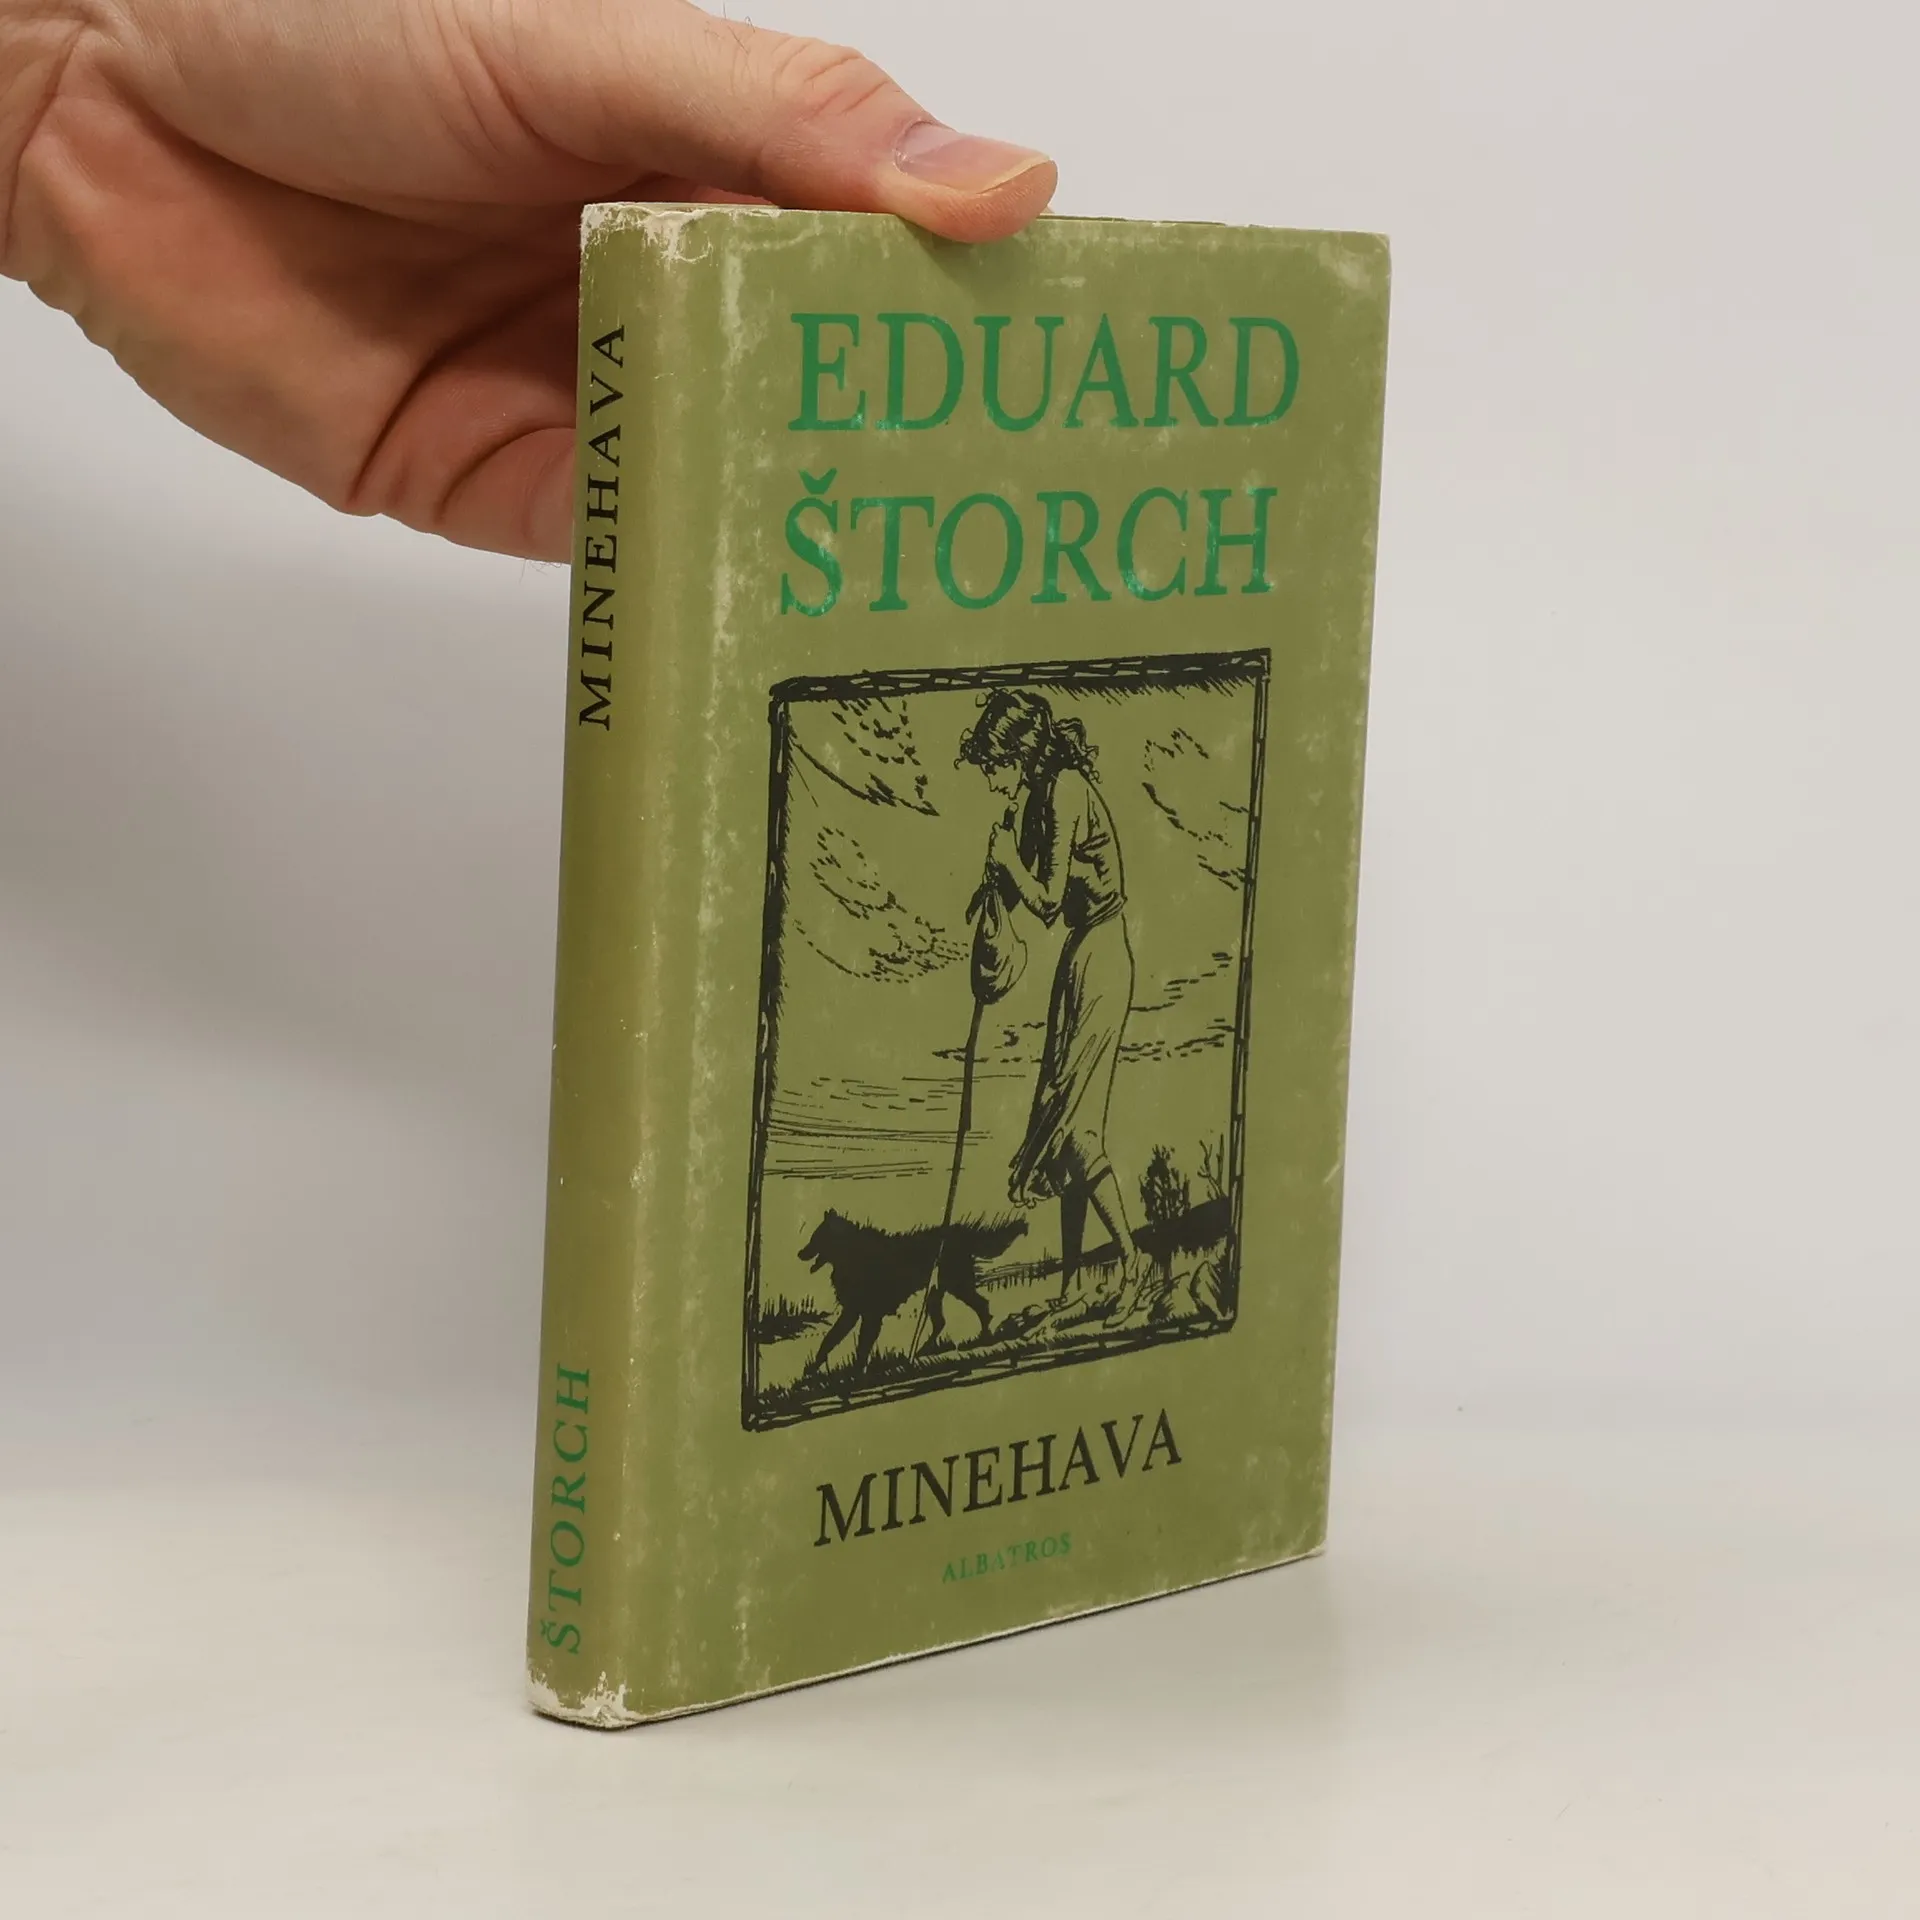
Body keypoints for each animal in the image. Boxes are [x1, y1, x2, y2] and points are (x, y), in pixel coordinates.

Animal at [798, 1210, 1027, 1378]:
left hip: (958, 1285)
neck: (854, 1254)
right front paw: (812, 1369)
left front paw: (856, 1373)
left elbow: (862, 1346)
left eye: (816, 1238)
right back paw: (924, 1350)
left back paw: (984, 1338)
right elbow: (830, 1340)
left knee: (981, 1306)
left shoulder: (871, 1315)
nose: (800, 1253)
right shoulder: (853, 1312)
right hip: (936, 1292)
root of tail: (961, 1234)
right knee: (941, 1321)